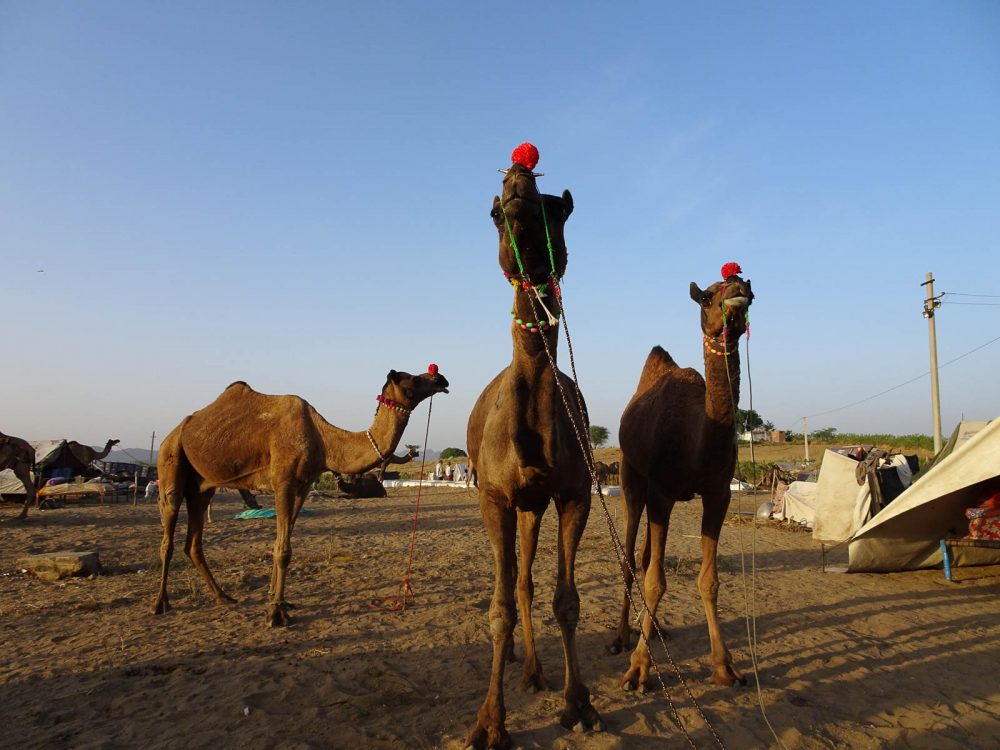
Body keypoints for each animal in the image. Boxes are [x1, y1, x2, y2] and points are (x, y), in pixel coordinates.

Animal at [152, 367, 449, 626]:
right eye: (412, 379)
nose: (440, 378)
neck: (323, 440)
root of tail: (174, 431)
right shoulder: (283, 481)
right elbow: (283, 550)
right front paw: (275, 615)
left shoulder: (303, 486)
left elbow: (282, 544)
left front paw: (278, 603)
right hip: (170, 459)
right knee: (167, 535)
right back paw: (160, 603)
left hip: (202, 486)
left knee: (193, 542)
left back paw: (223, 596)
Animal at [611, 264, 753, 691]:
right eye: (707, 296)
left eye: (751, 287)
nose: (738, 289)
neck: (697, 439)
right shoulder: (661, 492)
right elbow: (656, 580)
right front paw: (638, 670)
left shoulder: (718, 494)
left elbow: (709, 581)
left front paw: (725, 667)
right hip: (631, 478)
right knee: (630, 558)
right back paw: (621, 637)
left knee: (643, 558)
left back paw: (655, 629)